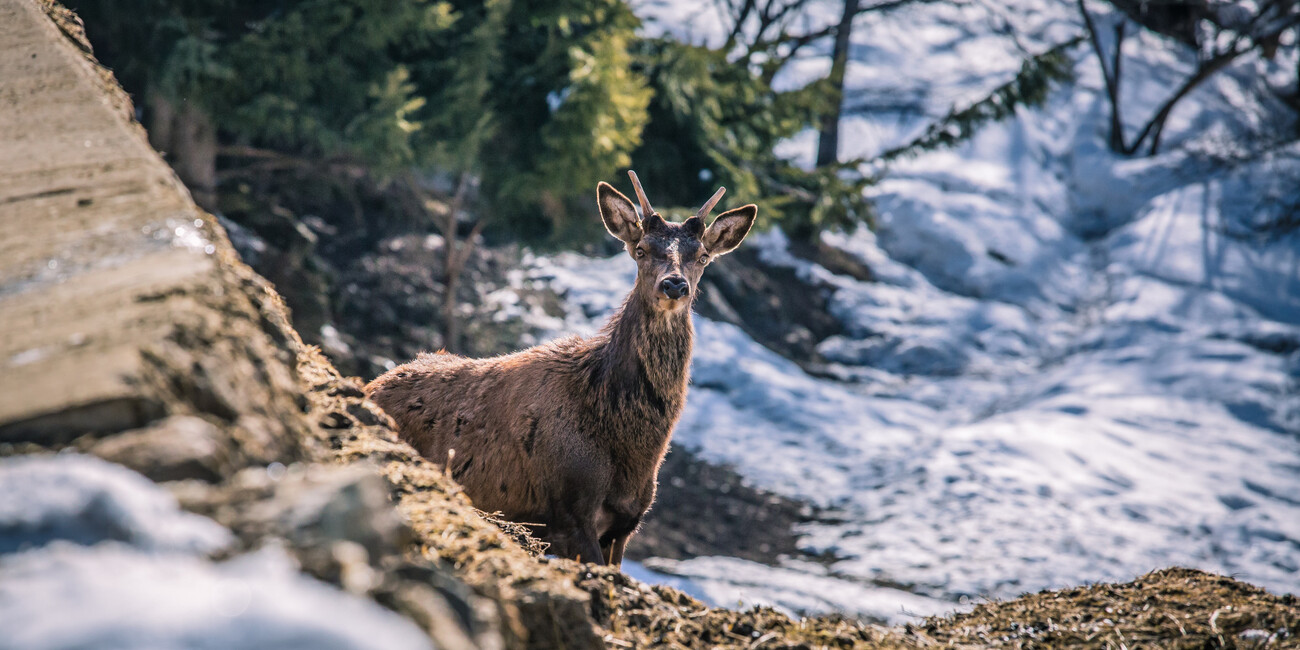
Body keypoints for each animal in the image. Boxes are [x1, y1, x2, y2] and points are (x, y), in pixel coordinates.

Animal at [361, 171, 759, 564]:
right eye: (641, 250)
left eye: (703, 257)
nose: (674, 285)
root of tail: (370, 385)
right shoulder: (568, 512)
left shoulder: (624, 525)